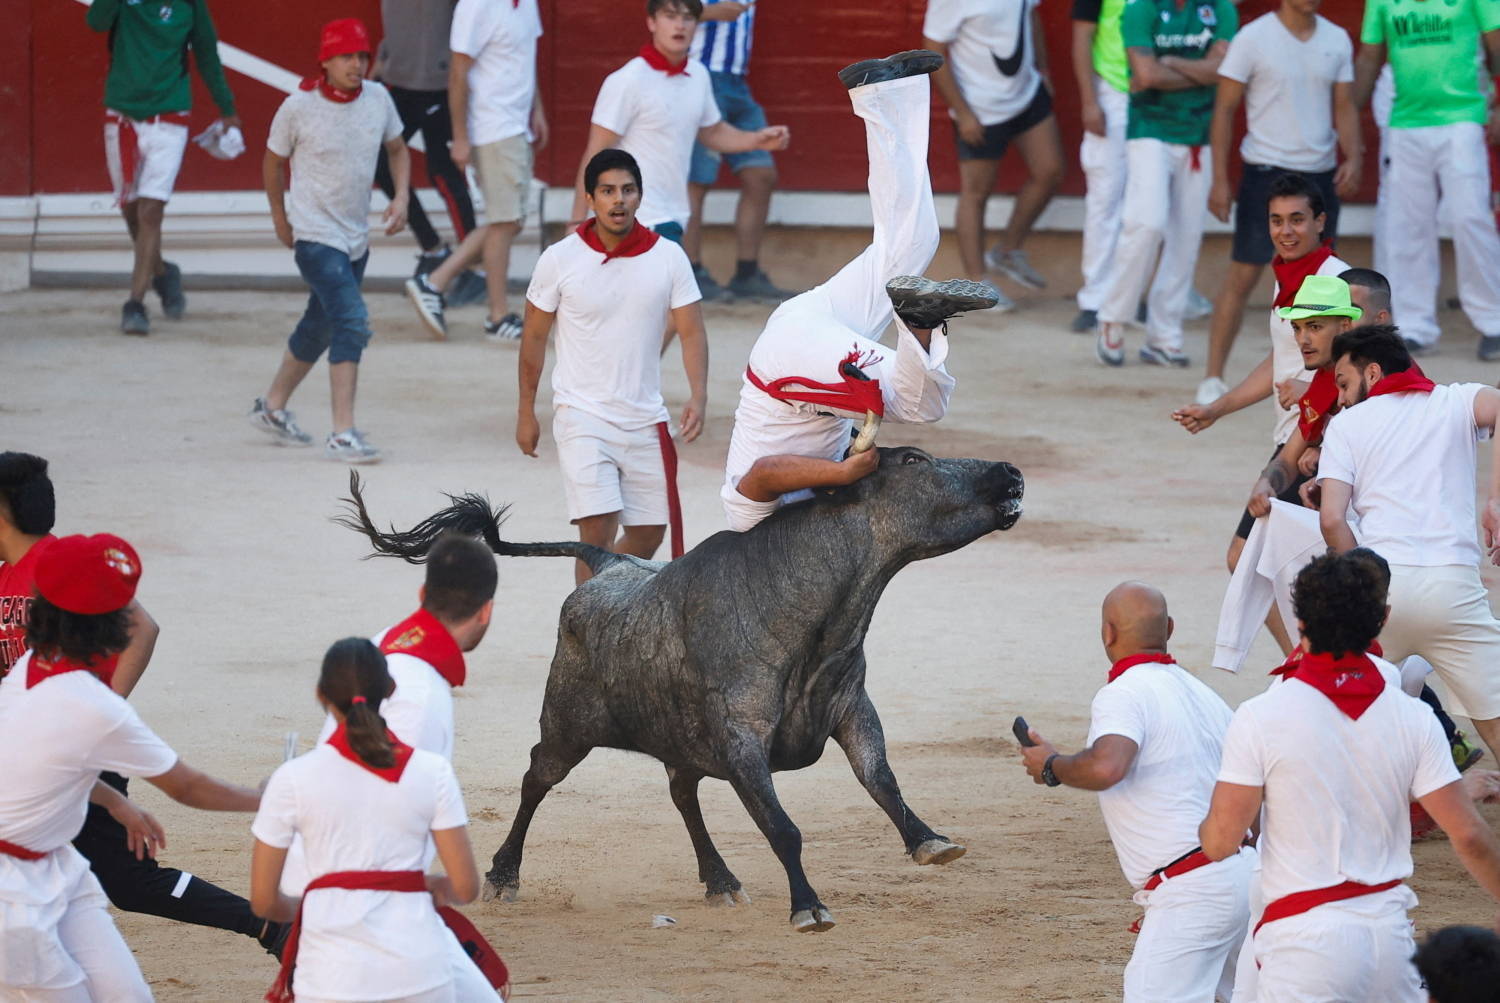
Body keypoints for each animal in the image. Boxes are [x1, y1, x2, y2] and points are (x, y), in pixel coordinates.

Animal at [339, 446, 1020, 929]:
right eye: (914, 460)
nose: (1010, 472)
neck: (809, 609)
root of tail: (610, 564)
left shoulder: (852, 709)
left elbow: (880, 779)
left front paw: (930, 842)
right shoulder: (743, 739)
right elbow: (783, 826)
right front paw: (809, 907)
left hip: (678, 740)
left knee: (680, 791)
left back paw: (720, 880)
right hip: (565, 726)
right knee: (537, 778)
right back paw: (504, 876)